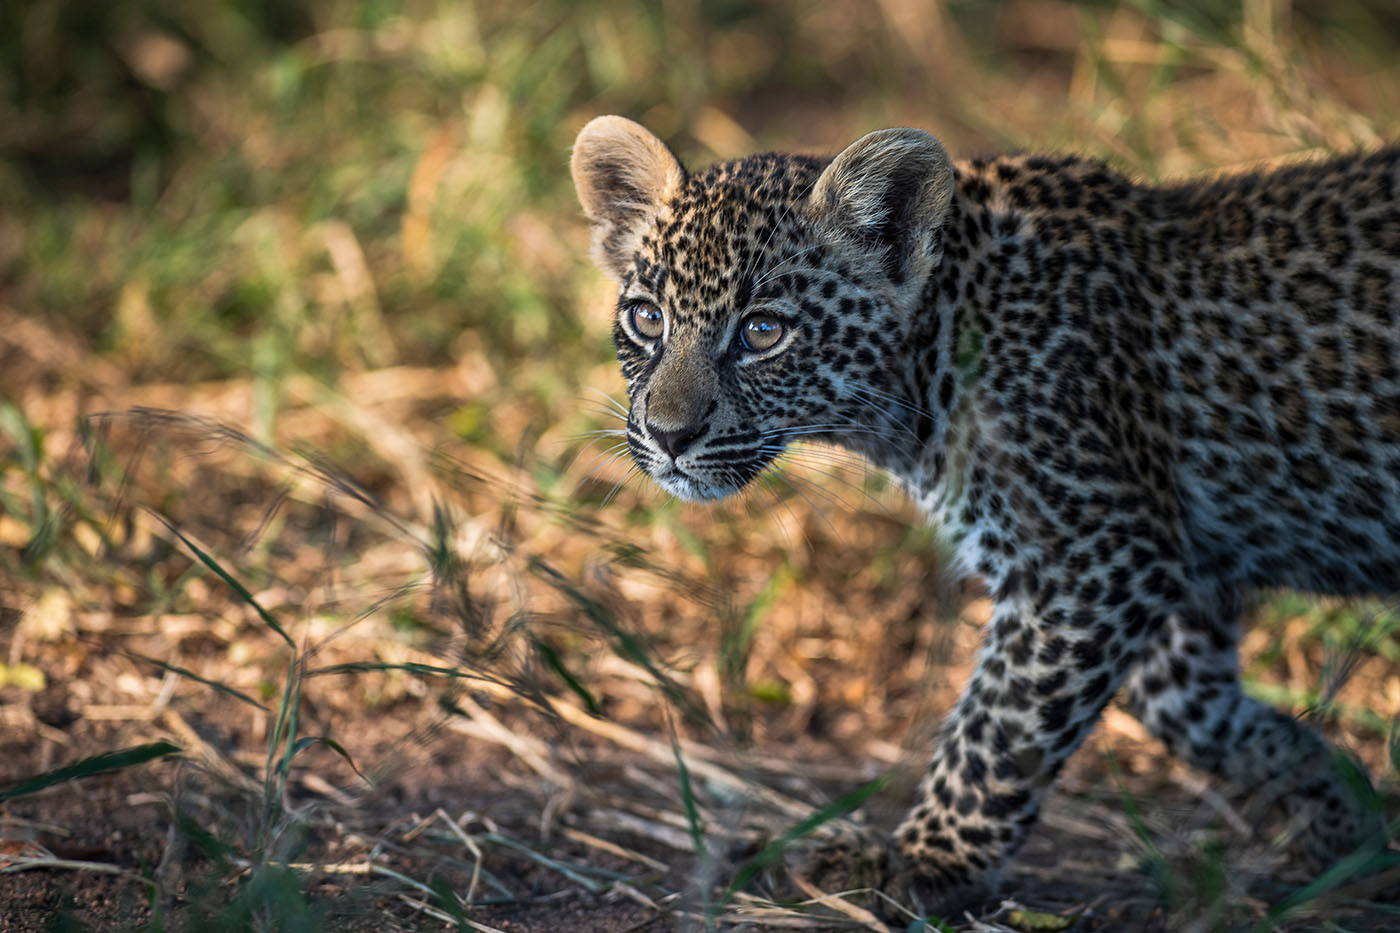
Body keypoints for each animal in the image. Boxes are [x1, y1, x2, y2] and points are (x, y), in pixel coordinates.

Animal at [570, 114, 1397, 911]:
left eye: (764, 331)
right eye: (647, 319)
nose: (668, 435)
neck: (928, 360)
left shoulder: (1096, 556)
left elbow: (999, 723)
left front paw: (921, 859)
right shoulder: (1176, 571)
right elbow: (1192, 711)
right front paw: (1342, 810)